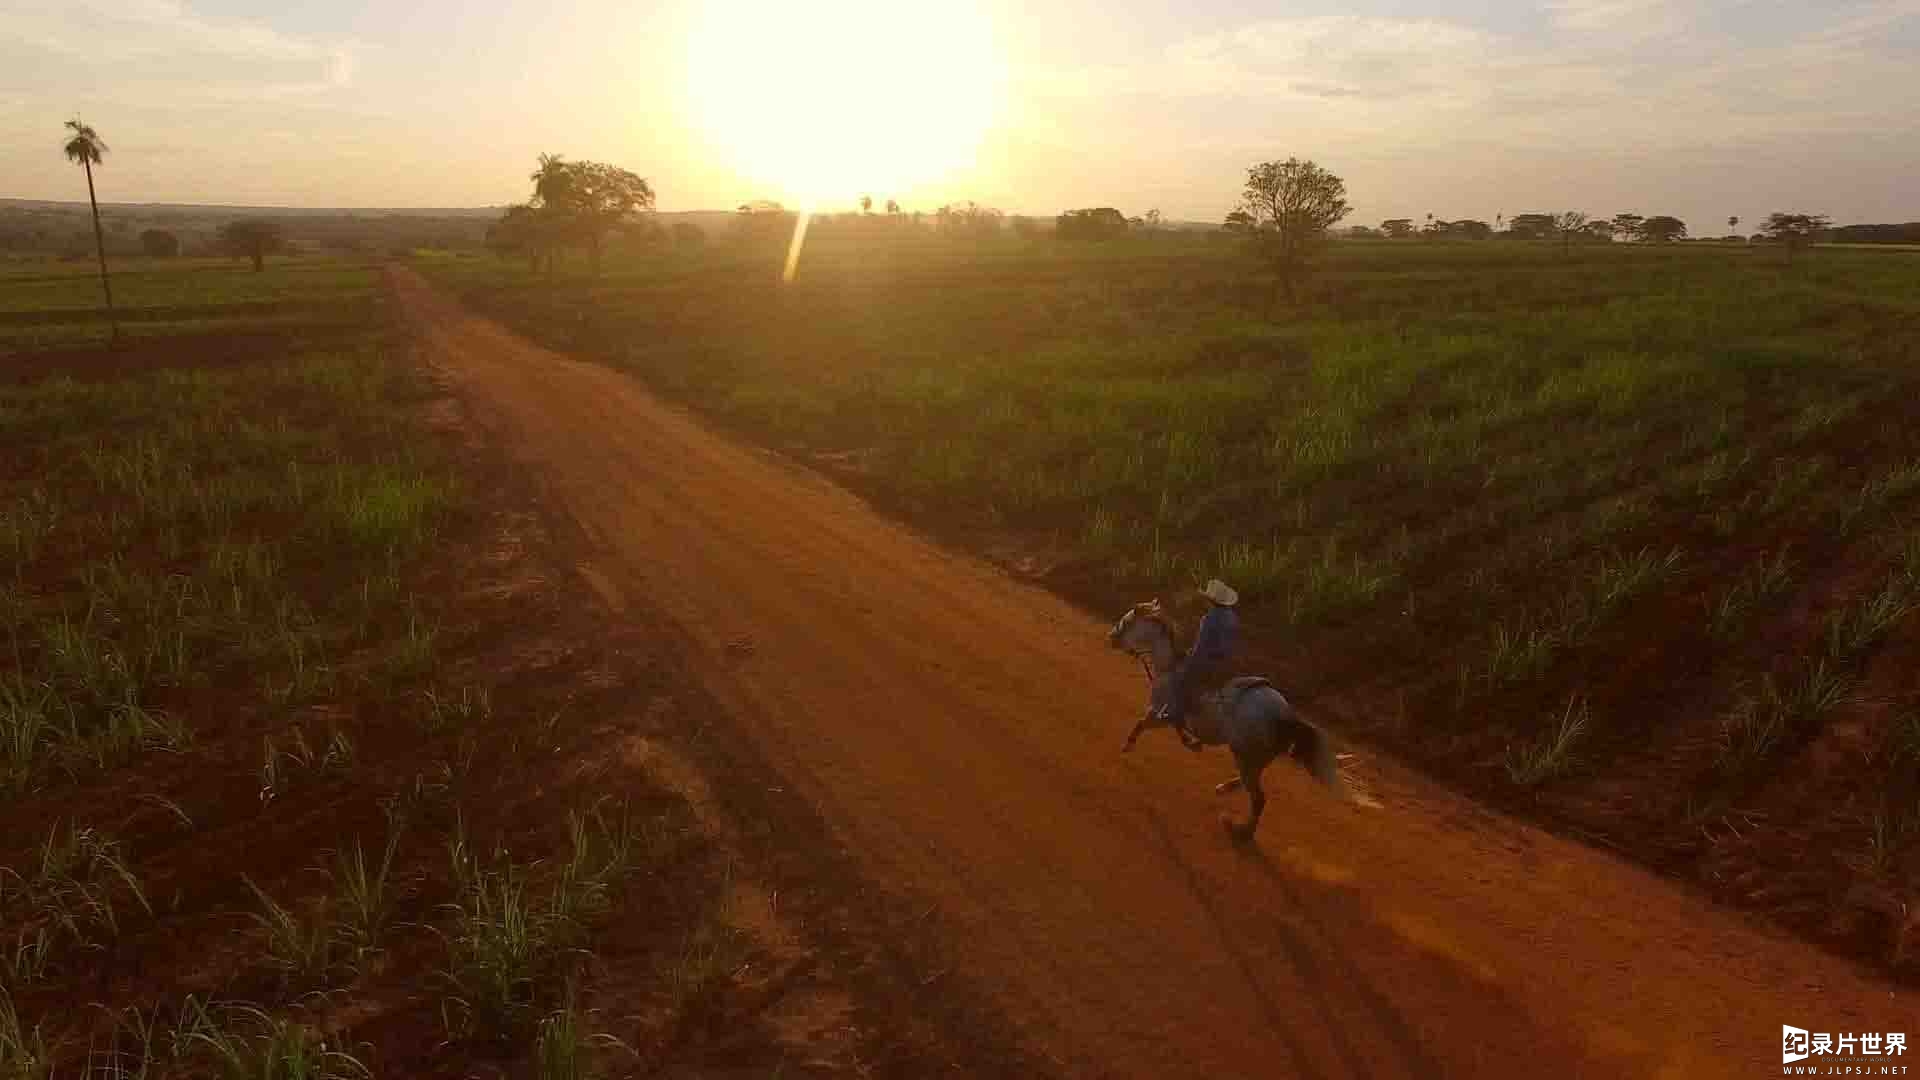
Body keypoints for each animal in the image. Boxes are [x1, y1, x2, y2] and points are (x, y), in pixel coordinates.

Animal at [1113, 595, 1351, 841]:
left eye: (1128, 621)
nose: (1112, 638)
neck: (1169, 668)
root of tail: (1285, 715)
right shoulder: (1166, 715)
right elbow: (1166, 728)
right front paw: (1191, 743)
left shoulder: (1161, 714)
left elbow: (1142, 724)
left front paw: (1128, 747)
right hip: (1254, 757)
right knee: (1250, 784)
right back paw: (1225, 790)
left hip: (1247, 756)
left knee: (1258, 798)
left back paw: (1242, 830)